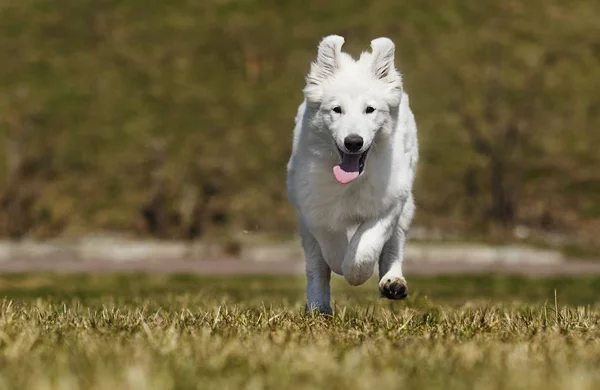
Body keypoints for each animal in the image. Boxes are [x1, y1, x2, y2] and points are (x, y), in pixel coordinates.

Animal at [286, 34, 418, 314]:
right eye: (337, 109)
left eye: (370, 110)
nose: (354, 142)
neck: (351, 181)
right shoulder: (313, 207)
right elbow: (330, 247)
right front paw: (339, 262)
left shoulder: (390, 202)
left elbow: (366, 247)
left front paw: (356, 272)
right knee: (315, 266)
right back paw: (318, 308)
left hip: (406, 203)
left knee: (394, 244)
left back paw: (393, 282)